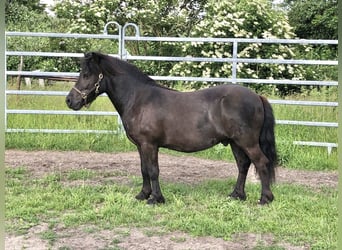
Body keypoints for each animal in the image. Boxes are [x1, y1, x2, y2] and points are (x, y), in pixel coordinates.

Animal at [65, 52, 276, 205]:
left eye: (86, 74)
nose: (69, 100)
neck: (139, 99)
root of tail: (257, 97)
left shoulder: (150, 145)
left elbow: (153, 170)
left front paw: (156, 199)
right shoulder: (141, 146)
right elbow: (144, 169)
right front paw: (143, 195)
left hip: (247, 142)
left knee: (261, 163)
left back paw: (265, 199)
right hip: (235, 142)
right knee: (243, 165)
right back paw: (237, 195)